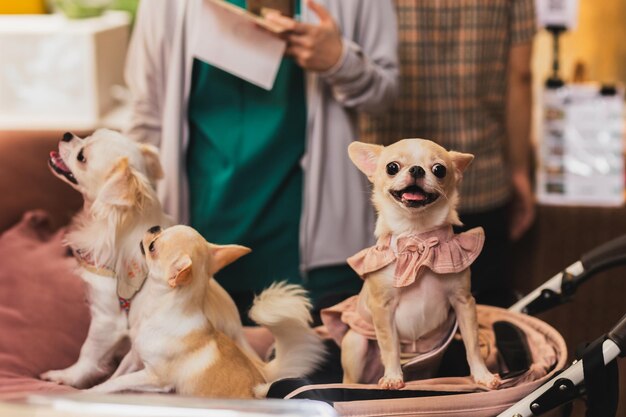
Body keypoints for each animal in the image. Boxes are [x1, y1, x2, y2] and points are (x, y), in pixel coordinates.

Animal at [91, 224, 326, 396]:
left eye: (153, 247)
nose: (154, 227)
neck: (159, 309)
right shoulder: (134, 357)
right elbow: (117, 375)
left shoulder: (154, 377)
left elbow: (118, 382)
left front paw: (91, 392)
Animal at [322, 140, 498, 390]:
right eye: (392, 167)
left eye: (439, 170)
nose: (416, 169)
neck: (417, 236)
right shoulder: (382, 308)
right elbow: (390, 346)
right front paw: (393, 376)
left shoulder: (464, 302)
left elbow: (472, 343)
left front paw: (482, 375)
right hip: (355, 344)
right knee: (352, 376)